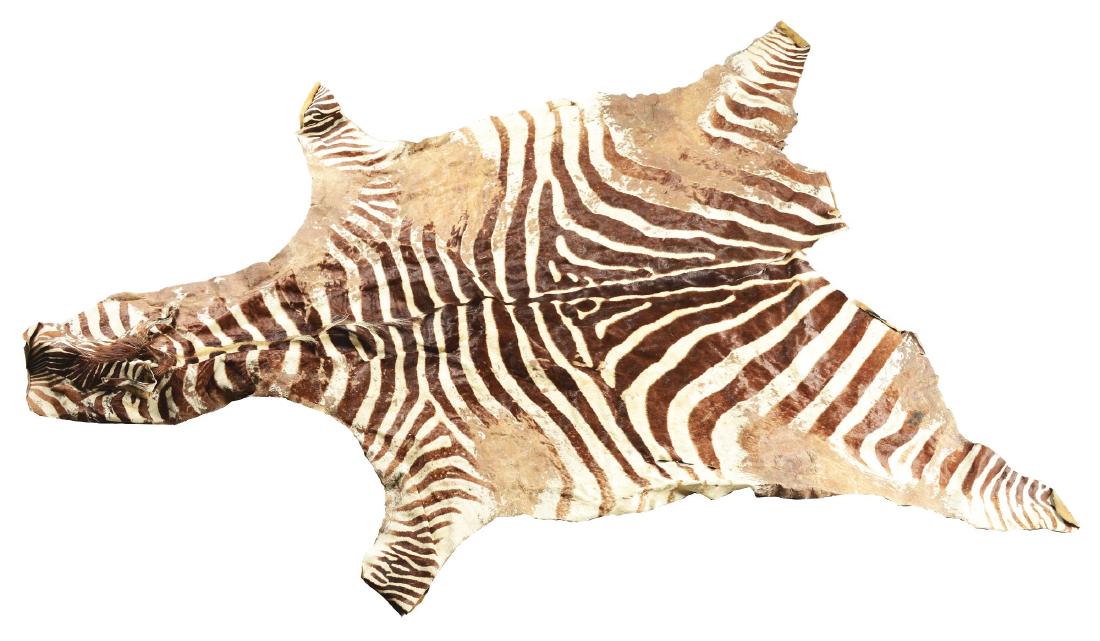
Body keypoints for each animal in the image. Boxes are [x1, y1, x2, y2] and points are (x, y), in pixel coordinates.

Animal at [22, 22, 1076, 614]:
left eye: (135, 371)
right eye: (136, 344)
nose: (36, 358)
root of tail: (791, 256)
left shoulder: (436, 473)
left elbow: (388, 580)